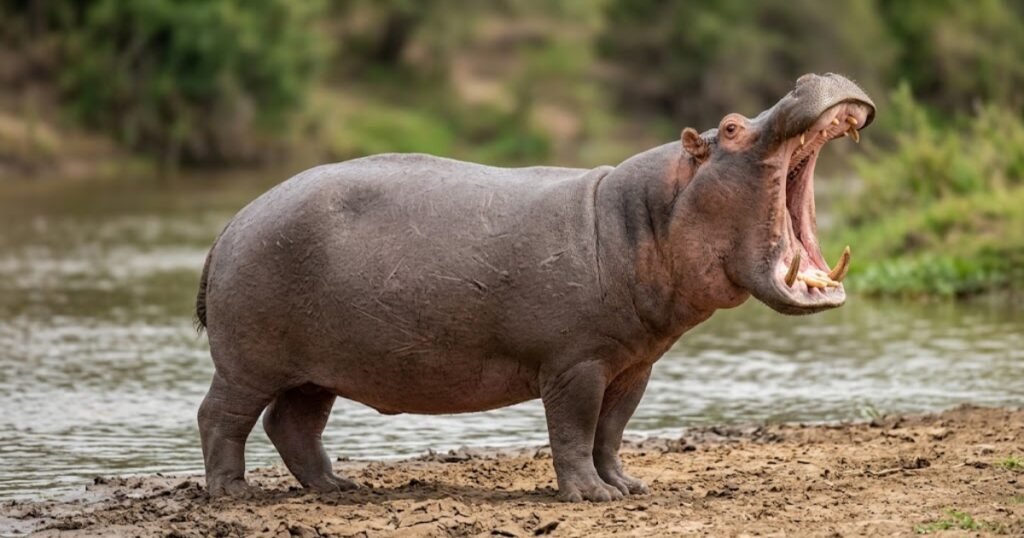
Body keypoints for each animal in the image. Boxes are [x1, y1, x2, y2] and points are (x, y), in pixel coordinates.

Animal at [195, 73, 874, 502]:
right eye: (731, 127)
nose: (809, 76)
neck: (646, 215)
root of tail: (229, 223)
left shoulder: (632, 365)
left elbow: (610, 433)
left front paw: (627, 488)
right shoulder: (576, 363)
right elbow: (573, 431)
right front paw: (592, 497)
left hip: (317, 370)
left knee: (293, 425)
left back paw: (339, 488)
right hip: (249, 361)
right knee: (220, 418)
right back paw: (234, 494)